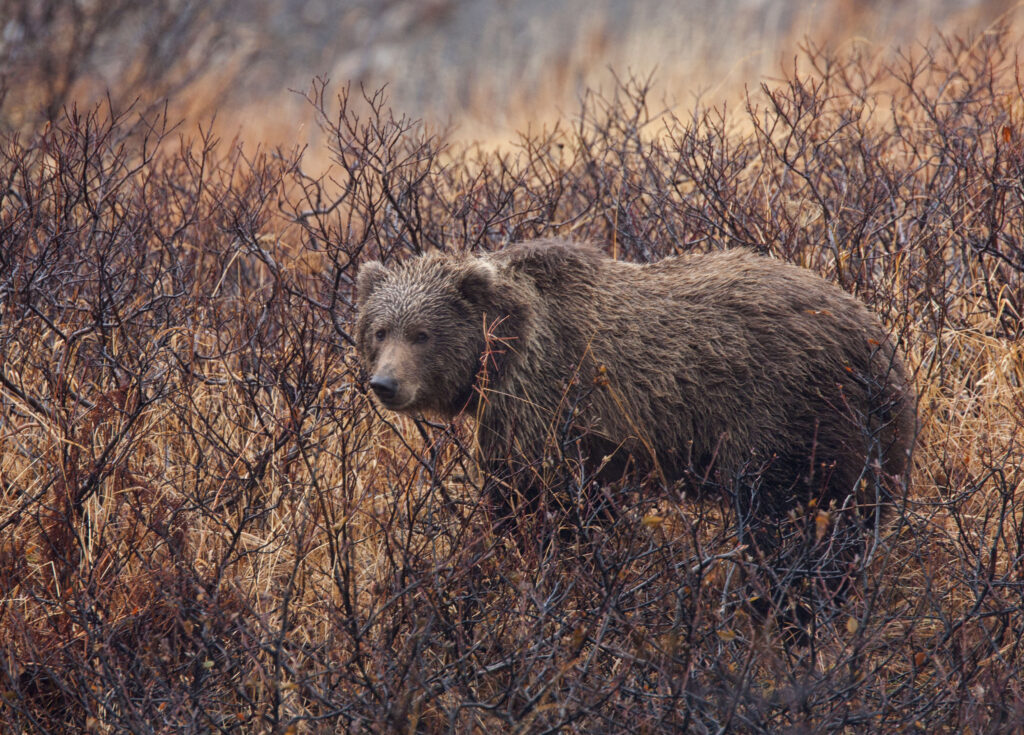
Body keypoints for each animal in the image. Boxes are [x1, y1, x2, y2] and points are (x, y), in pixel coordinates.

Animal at [355, 238, 916, 536]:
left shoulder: (549, 405)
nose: (384, 383)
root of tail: (878, 340)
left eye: (422, 333)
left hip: (790, 416)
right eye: (380, 330)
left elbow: (540, 499)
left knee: (786, 520)